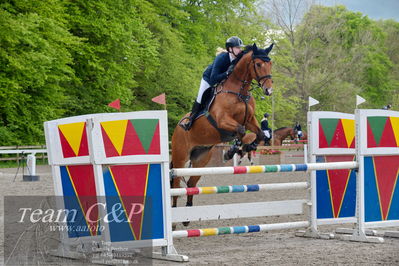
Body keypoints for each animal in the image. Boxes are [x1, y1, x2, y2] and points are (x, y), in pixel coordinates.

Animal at [170, 42, 274, 216]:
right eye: (258, 64)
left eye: (270, 64)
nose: (269, 90)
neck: (239, 91)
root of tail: (177, 129)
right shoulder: (222, 121)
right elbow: (240, 131)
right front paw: (231, 151)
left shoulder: (250, 120)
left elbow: (259, 134)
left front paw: (248, 146)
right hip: (180, 157)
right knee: (176, 186)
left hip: (201, 158)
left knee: (191, 183)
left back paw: (187, 215)